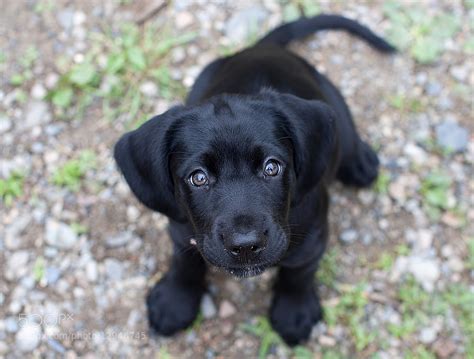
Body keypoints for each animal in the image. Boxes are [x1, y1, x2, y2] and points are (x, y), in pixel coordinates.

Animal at [113, 14, 394, 346]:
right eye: (198, 177)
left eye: (272, 168)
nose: (246, 245)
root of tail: (263, 48)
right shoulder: (182, 230)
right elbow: (185, 262)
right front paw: (174, 301)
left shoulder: (312, 235)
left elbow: (298, 272)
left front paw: (294, 312)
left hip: (333, 100)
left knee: (346, 130)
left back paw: (360, 161)